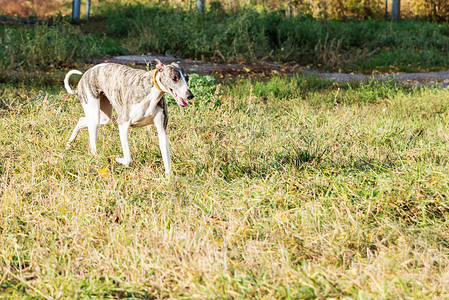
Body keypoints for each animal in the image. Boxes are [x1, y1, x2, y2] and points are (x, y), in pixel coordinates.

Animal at [63, 59, 192, 176]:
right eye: (174, 78)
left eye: (187, 78)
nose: (190, 95)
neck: (151, 92)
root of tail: (86, 74)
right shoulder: (122, 123)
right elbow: (128, 159)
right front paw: (118, 159)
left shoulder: (162, 130)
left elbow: (167, 160)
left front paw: (170, 180)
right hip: (94, 113)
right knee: (92, 140)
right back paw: (94, 157)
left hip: (104, 118)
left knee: (81, 120)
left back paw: (69, 144)